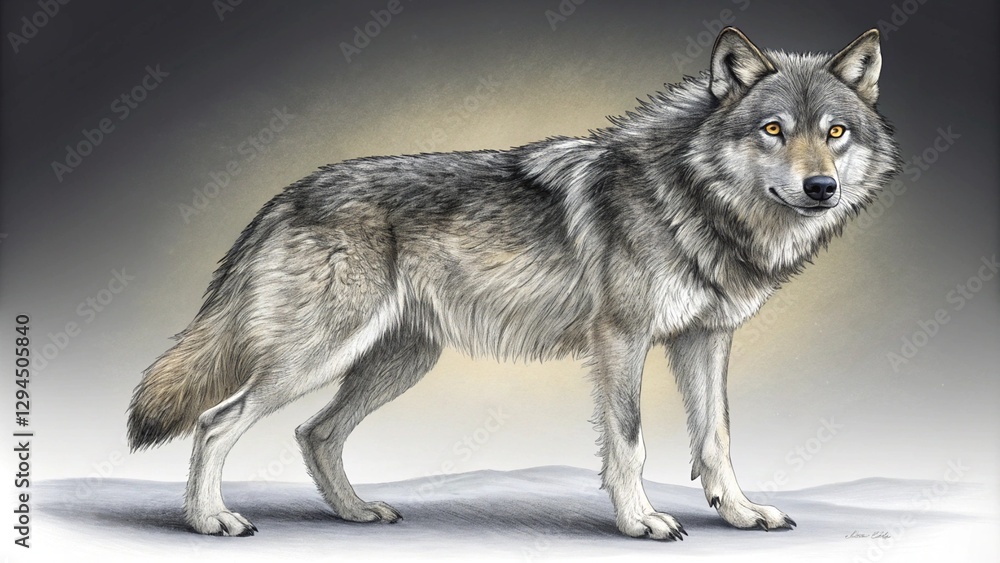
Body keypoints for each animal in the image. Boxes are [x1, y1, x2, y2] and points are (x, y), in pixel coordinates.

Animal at [128, 27, 901, 539]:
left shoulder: (705, 340)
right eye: (773, 129)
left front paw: (740, 514)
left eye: (834, 132)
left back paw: (354, 512)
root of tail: (283, 196)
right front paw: (641, 520)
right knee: (216, 422)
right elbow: (628, 439)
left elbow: (716, 438)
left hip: (397, 361)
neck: (692, 195)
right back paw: (211, 519)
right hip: (316, 358)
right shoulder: (621, 341)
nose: (822, 188)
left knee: (315, 433)